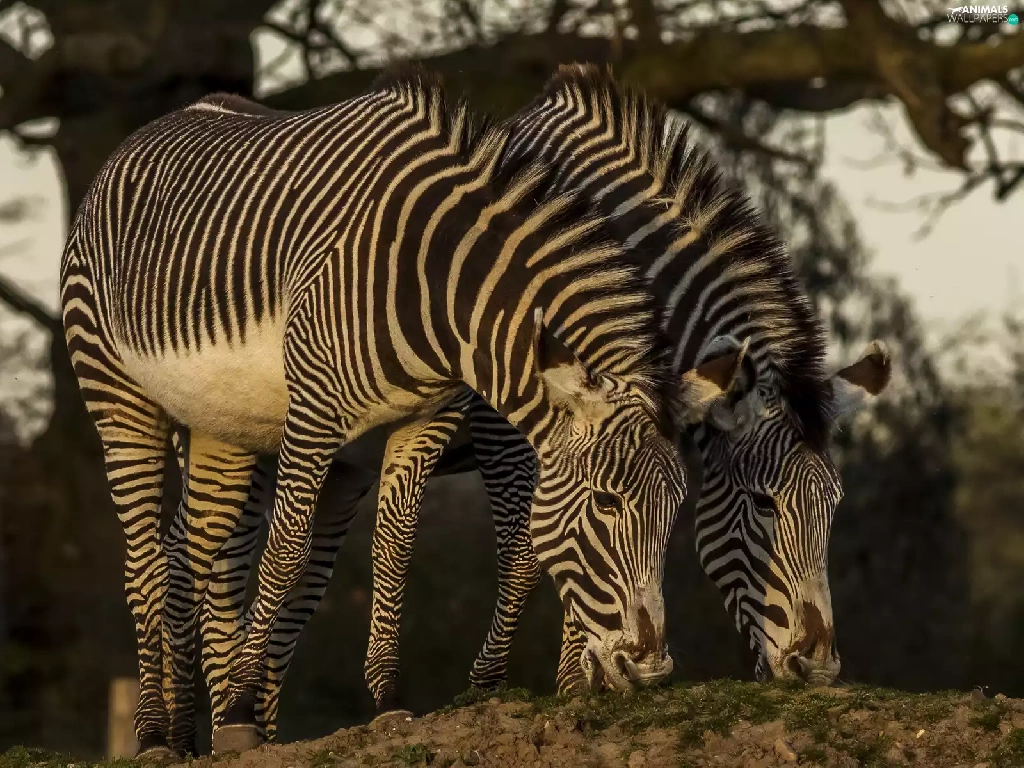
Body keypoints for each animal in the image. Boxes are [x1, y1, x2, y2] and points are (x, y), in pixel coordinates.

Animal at [57, 65, 747, 759]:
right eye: (606, 503)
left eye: (675, 508)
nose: (651, 670)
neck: (442, 291)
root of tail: (146, 133)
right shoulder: (320, 412)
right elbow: (286, 553)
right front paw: (240, 711)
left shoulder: (425, 419)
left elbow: (394, 551)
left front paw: (387, 701)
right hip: (121, 402)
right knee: (147, 565)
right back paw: (156, 734)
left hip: (222, 430)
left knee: (187, 558)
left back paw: (183, 735)